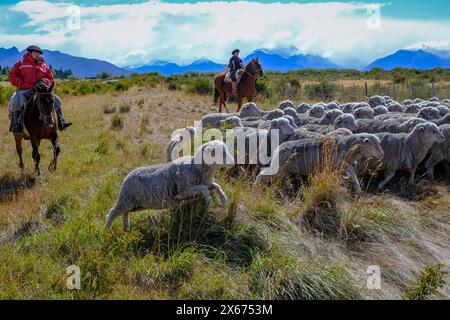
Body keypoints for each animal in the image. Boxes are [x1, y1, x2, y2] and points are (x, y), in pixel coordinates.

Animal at [105, 141, 234, 229]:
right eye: (219, 153)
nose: (233, 162)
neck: (196, 167)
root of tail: (127, 177)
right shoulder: (183, 191)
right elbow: (204, 189)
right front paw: (210, 202)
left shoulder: (206, 183)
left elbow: (216, 186)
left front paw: (223, 199)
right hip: (126, 200)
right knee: (113, 211)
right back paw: (106, 229)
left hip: (137, 205)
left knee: (125, 213)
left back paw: (126, 227)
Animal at [256, 133, 384, 192]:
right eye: (372, 144)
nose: (382, 154)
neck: (347, 147)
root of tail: (278, 148)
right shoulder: (339, 163)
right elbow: (352, 174)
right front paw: (357, 188)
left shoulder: (341, 166)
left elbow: (351, 174)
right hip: (278, 168)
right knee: (261, 175)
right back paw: (256, 186)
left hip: (283, 170)